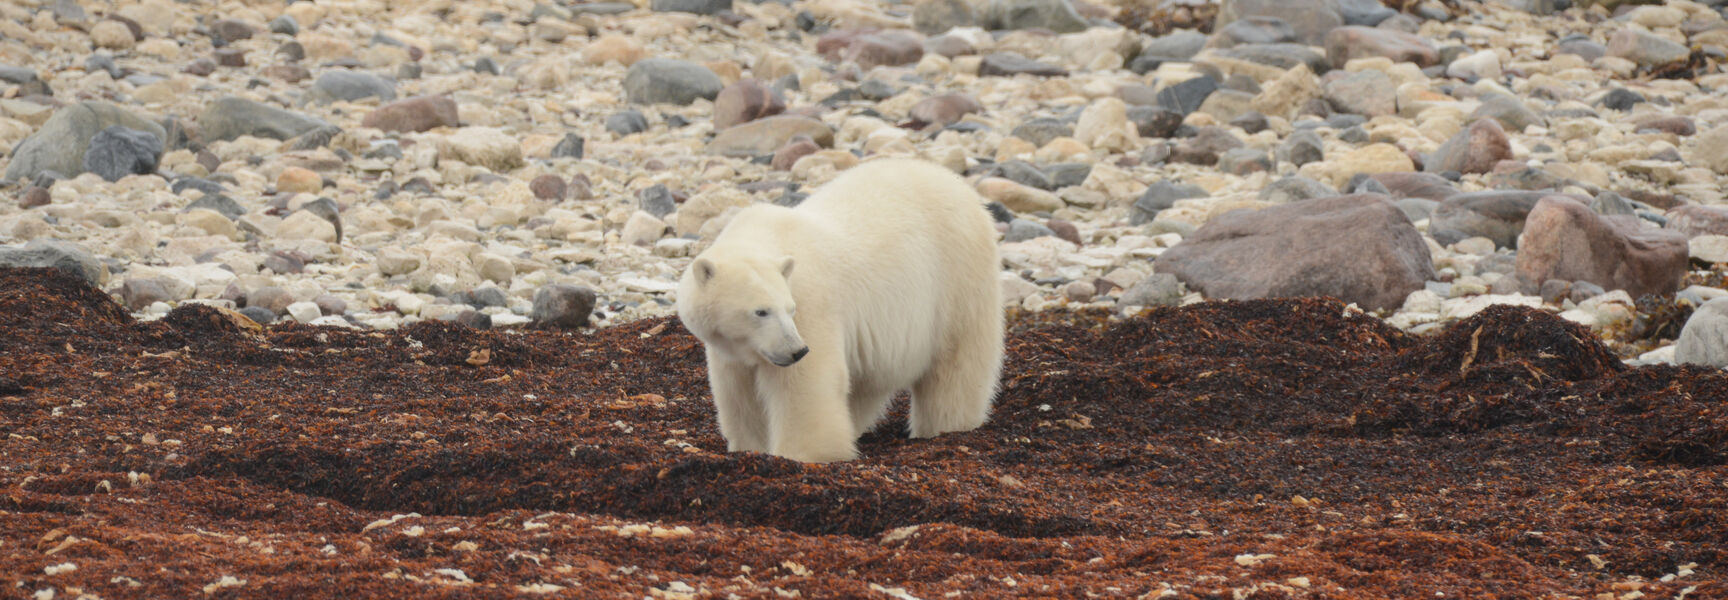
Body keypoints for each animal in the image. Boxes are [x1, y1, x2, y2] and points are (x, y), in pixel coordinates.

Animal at [675, 158, 1005, 463]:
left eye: (790, 309)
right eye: (761, 312)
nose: (797, 350)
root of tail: (960, 187)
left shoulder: (812, 304)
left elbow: (806, 385)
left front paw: (801, 454)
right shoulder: (730, 350)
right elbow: (739, 394)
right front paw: (749, 448)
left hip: (956, 279)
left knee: (956, 366)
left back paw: (944, 427)